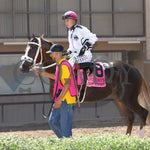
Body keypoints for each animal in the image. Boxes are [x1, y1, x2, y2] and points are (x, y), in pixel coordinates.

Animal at [19, 34, 150, 137]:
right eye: (26, 48)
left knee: (143, 113)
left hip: (129, 99)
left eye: (33, 48)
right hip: (120, 100)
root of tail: (134, 69)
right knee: (130, 117)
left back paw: (139, 138)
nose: (22, 67)